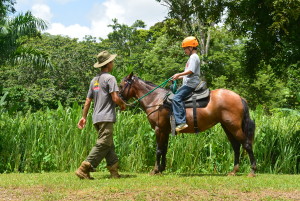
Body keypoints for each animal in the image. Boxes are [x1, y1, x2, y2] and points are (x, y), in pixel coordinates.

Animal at [119, 73, 255, 177]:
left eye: (121, 85)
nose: (118, 100)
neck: (156, 101)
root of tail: (239, 97)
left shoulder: (159, 129)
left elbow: (158, 150)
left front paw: (155, 170)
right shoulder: (165, 130)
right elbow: (164, 149)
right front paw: (162, 168)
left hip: (234, 127)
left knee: (246, 144)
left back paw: (252, 170)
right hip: (227, 127)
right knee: (236, 146)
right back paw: (234, 171)